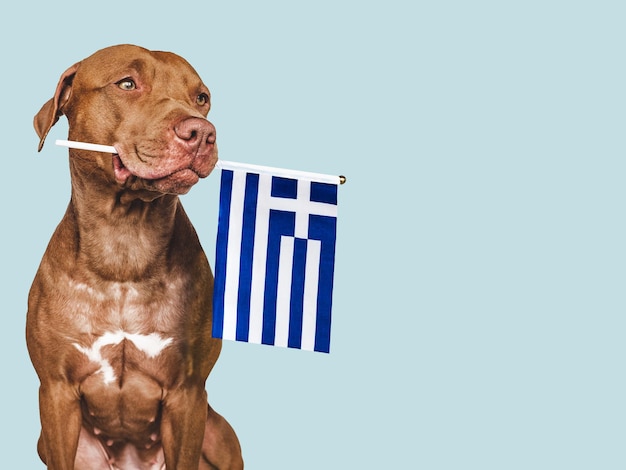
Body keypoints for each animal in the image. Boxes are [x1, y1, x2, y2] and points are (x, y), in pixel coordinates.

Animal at [29, 45, 244, 470]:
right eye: (127, 84)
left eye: (201, 98)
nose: (201, 133)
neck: (125, 244)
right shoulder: (57, 393)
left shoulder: (188, 394)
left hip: (219, 434)